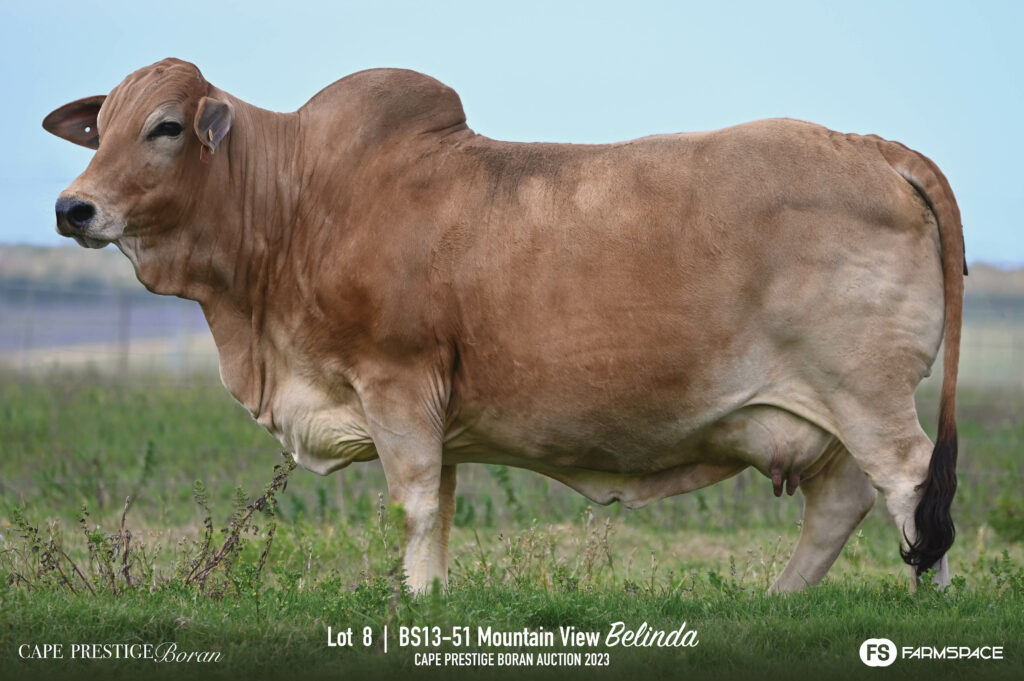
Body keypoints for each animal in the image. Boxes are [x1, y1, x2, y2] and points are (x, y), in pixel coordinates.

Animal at [43, 58, 965, 594]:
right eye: (101, 128)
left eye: (165, 127)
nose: (72, 207)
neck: (298, 202)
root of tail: (870, 144)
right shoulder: (435, 414)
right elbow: (441, 511)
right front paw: (436, 600)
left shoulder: (397, 383)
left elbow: (413, 507)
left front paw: (414, 600)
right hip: (827, 411)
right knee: (845, 501)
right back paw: (779, 600)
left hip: (866, 393)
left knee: (913, 486)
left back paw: (928, 601)